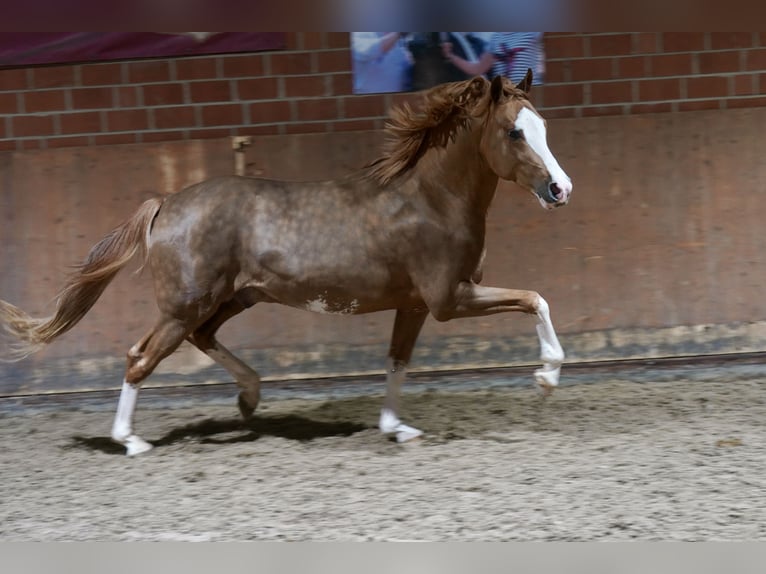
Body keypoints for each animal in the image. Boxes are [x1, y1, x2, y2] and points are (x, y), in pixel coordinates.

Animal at [0, 71, 572, 454]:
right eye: (514, 132)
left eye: (543, 125)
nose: (560, 189)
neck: (431, 200)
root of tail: (165, 203)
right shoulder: (449, 299)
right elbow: (536, 298)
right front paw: (546, 377)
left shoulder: (414, 306)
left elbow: (397, 361)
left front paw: (397, 429)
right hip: (185, 304)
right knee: (139, 356)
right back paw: (131, 441)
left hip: (234, 298)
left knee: (200, 339)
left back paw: (249, 399)